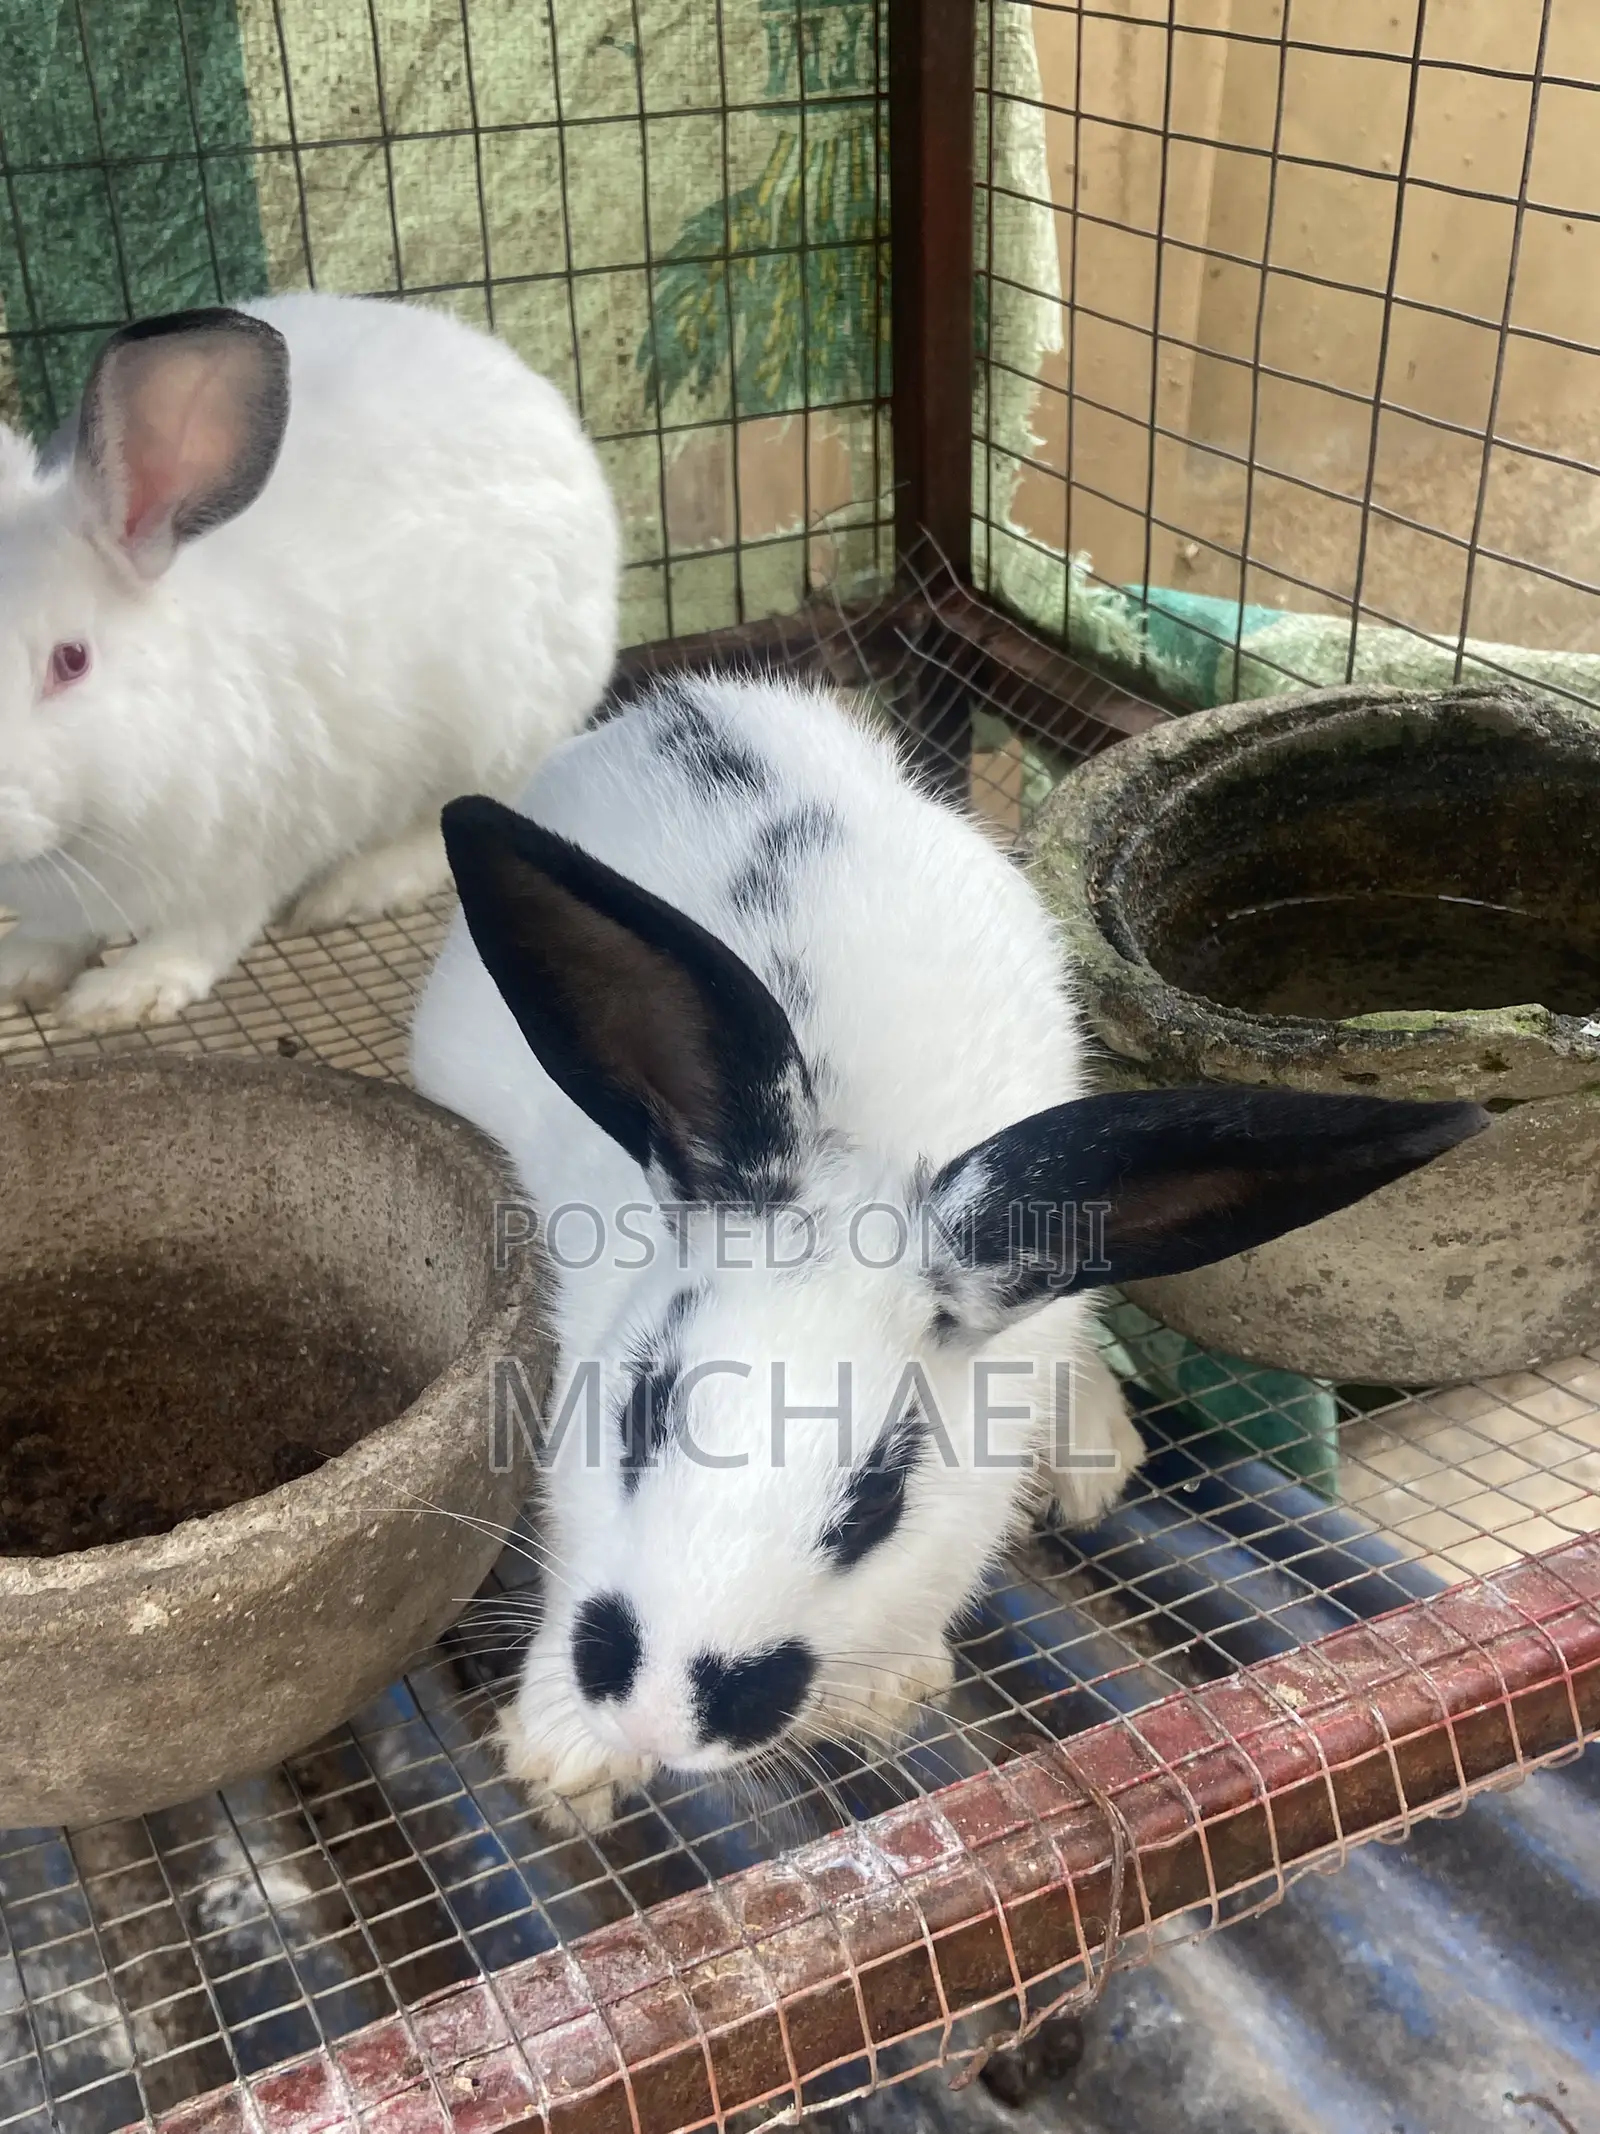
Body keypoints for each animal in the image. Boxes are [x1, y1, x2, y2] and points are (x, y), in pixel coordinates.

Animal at [0, 292, 619, 1031]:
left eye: (71, 660)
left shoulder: (252, 853)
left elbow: (200, 935)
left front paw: (124, 994)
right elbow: (54, 932)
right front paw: (18, 969)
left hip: (499, 725)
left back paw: (355, 889)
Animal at [409, 672, 1488, 1830]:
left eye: (879, 1502)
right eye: (640, 1416)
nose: (659, 1719)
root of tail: (711, 703)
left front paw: (888, 1689)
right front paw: (563, 1763)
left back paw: (1092, 1456)